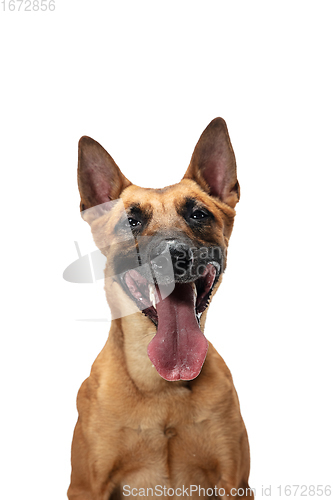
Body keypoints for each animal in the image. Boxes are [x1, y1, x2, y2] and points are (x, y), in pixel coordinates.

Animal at [68, 118, 253, 500]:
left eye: (198, 214)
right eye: (130, 222)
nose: (173, 256)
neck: (162, 387)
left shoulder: (235, 484)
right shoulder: (87, 487)